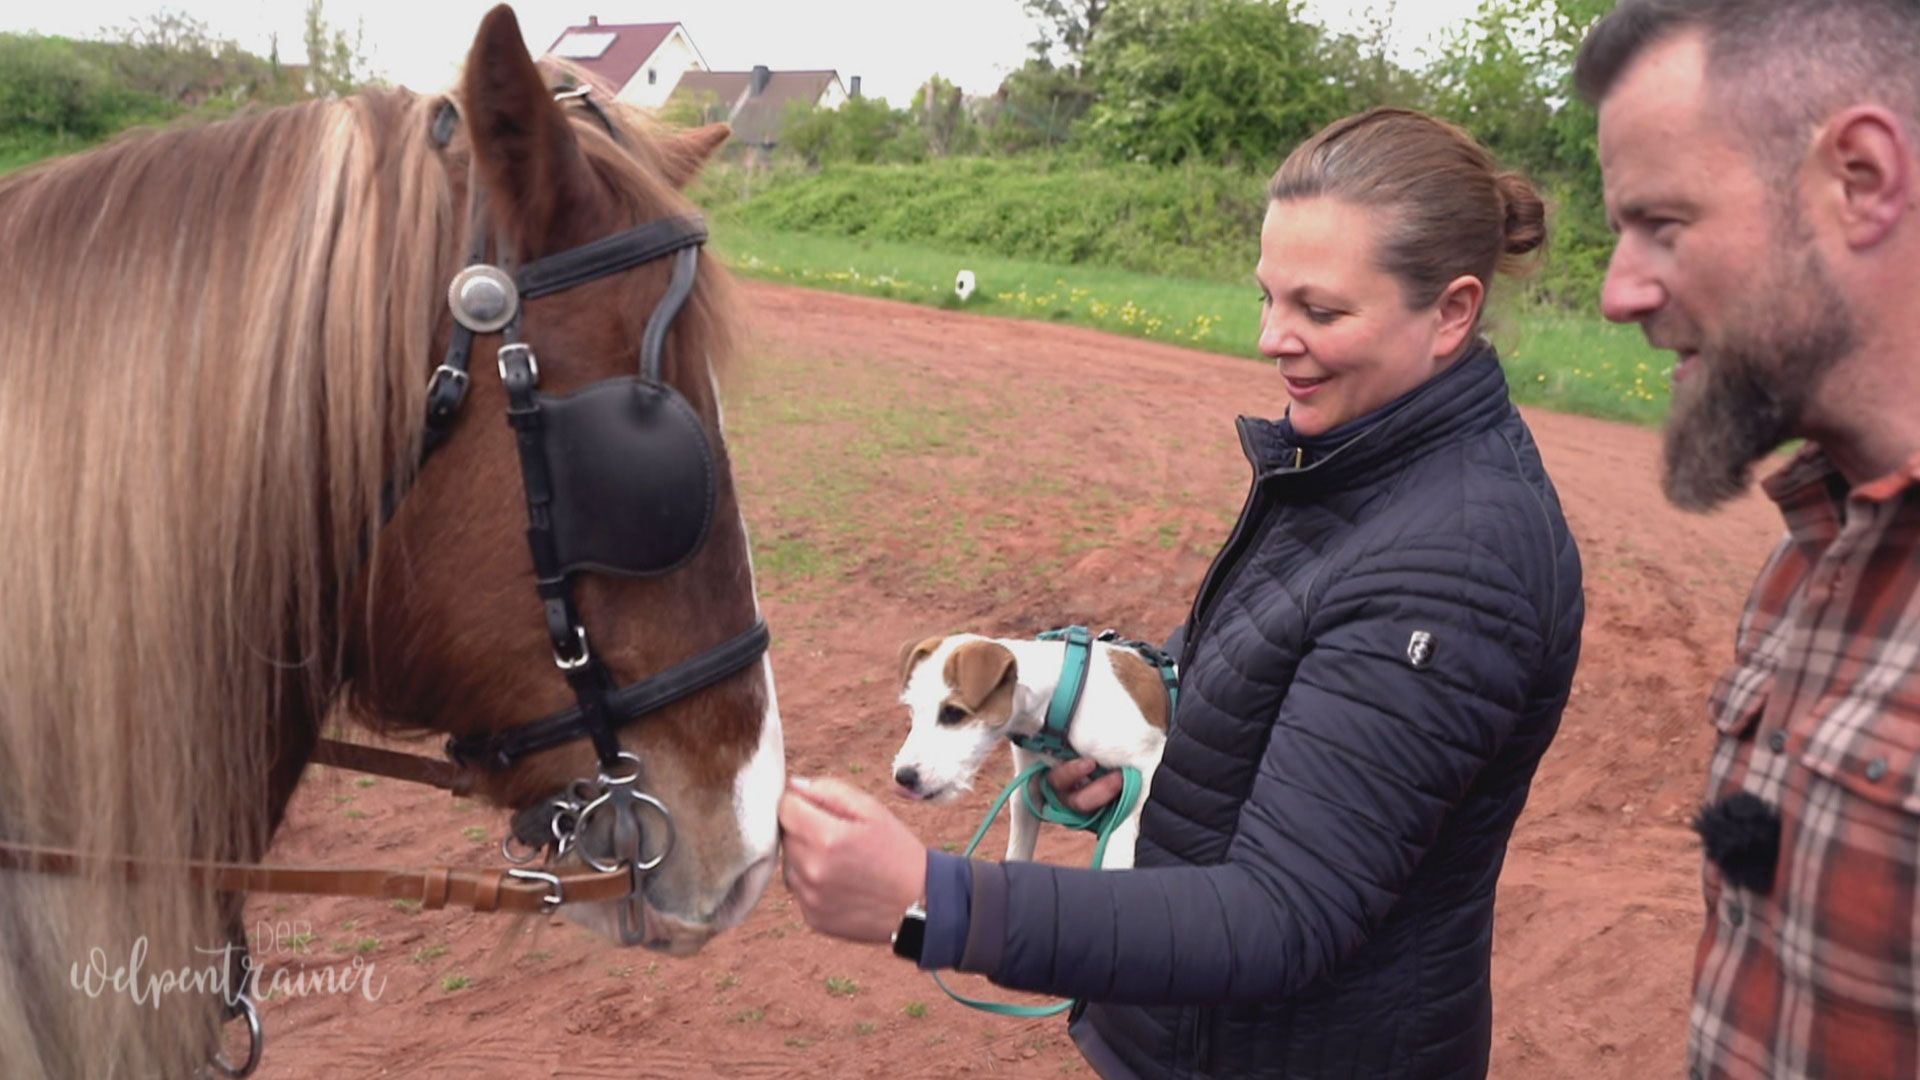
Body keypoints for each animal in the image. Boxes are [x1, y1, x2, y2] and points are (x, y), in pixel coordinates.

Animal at [887, 630, 1167, 864]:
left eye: (953, 713)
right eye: (912, 709)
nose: (904, 777)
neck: (1059, 698)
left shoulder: (1146, 768)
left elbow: (1120, 839)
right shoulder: (1027, 788)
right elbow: (1018, 852)